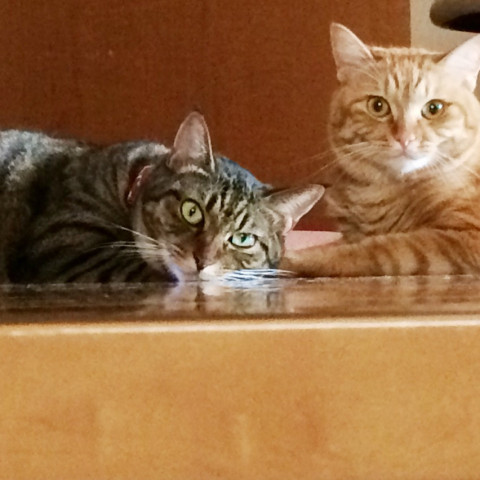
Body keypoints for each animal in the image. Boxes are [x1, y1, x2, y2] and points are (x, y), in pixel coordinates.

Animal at [281, 23, 480, 277]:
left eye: (434, 108)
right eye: (378, 106)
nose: (404, 138)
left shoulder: (466, 239)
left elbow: (380, 249)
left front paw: (296, 258)